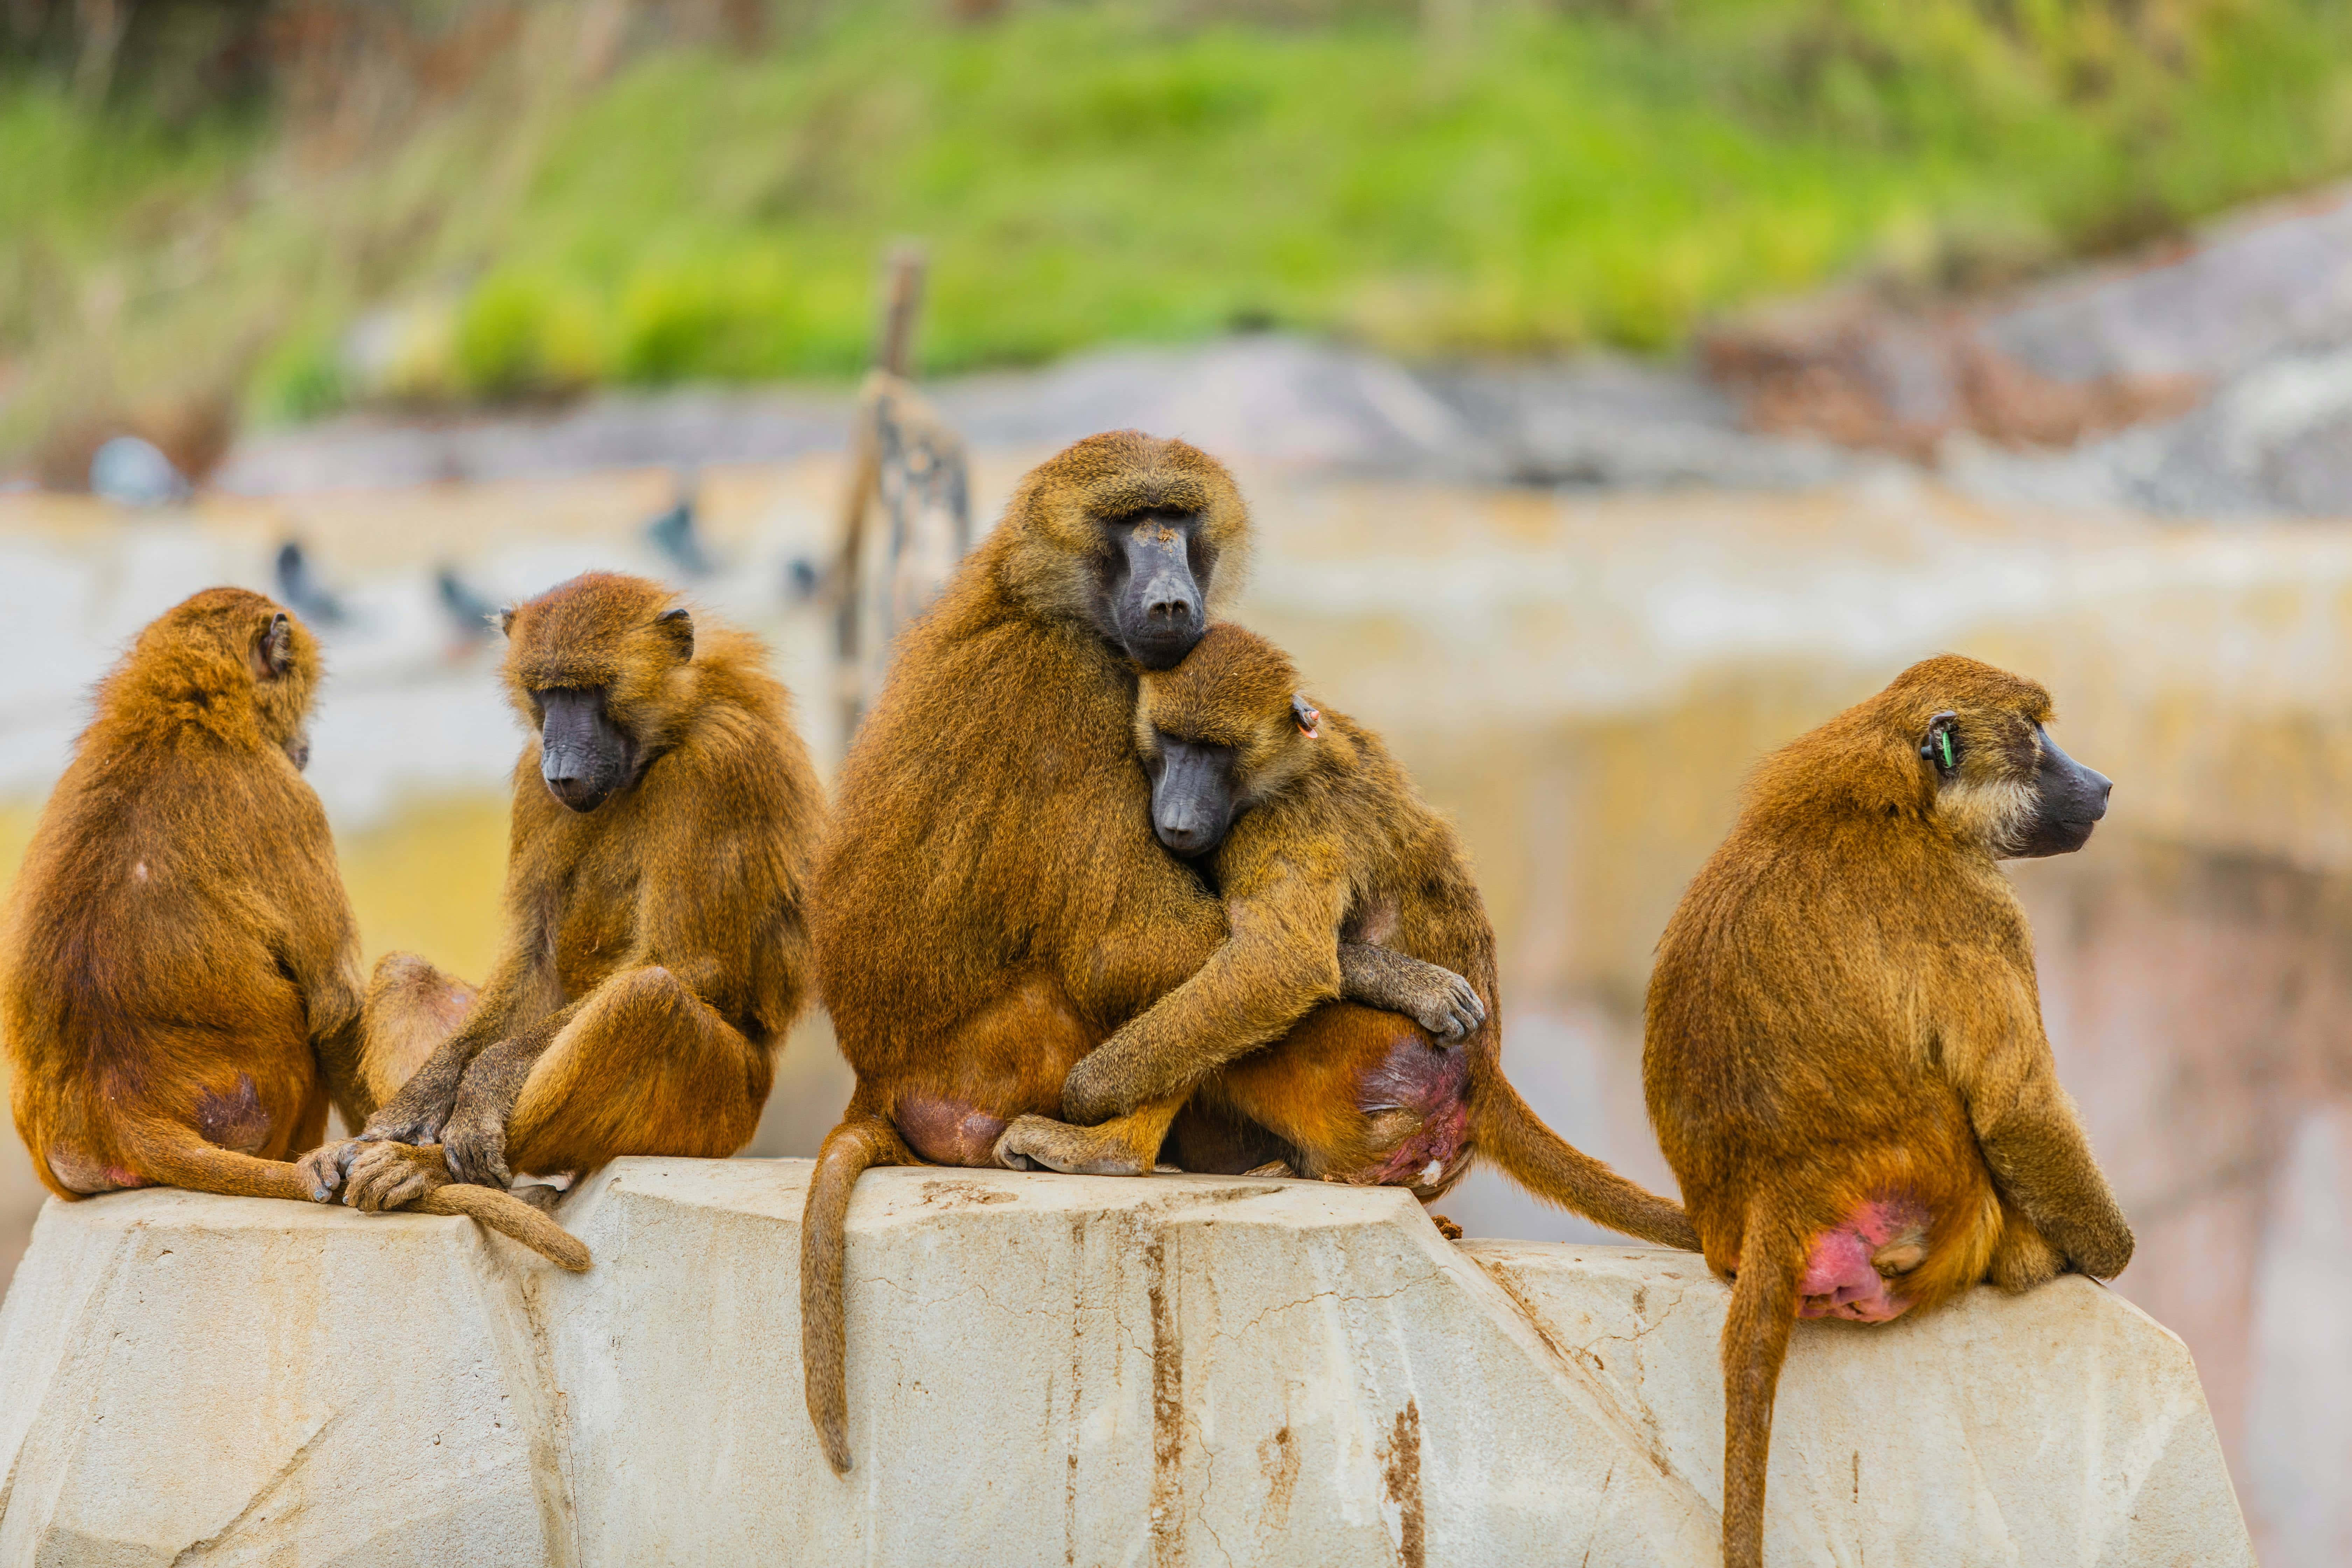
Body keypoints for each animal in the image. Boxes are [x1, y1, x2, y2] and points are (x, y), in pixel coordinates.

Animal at [1, 588, 585, 1270]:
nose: (304, 745)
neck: (177, 717)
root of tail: (116, 1112)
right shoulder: (290, 800)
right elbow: (335, 1005)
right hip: (258, 1104)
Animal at [295, 572, 823, 1236]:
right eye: (547, 695)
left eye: (592, 692)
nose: (562, 766)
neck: (660, 744)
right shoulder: (531, 780)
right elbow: (533, 961)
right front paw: (421, 1098)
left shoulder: (720, 765)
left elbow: (689, 964)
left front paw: (485, 1083)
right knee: (407, 973)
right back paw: (371, 1153)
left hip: (720, 1116)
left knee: (649, 999)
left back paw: (427, 1167)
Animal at [991, 622, 1698, 1255]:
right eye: (1172, 742)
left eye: (1216, 752)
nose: (1179, 815)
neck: (1286, 765)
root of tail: (1486, 1074)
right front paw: (1416, 984)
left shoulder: (1280, 824)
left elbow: (1278, 965)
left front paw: (1086, 1092)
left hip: (1360, 1065)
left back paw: (1109, 1150)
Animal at [1640, 654, 2134, 1568]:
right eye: (2035, 734)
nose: (2102, 783)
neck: (1893, 803)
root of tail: (1780, 1196)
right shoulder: (1979, 906)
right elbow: (2016, 1109)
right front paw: (2107, 1255)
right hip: (1948, 1211)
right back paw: (2031, 1260)